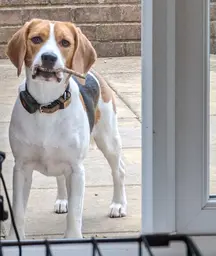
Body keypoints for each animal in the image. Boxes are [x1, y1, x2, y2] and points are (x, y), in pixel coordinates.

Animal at [5, 19, 127, 239]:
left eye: (65, 43)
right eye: (36, 39)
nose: (49, 57)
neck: (46, 105)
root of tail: (93, 73)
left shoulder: (76, 169)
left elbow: (76, 213)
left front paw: (72, 238)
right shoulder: (21, 168)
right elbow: (17, 211)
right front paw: (14, 240)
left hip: (109, 141)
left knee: (119, 171)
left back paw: (118, 205)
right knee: (60, 178)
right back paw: (63, 200)